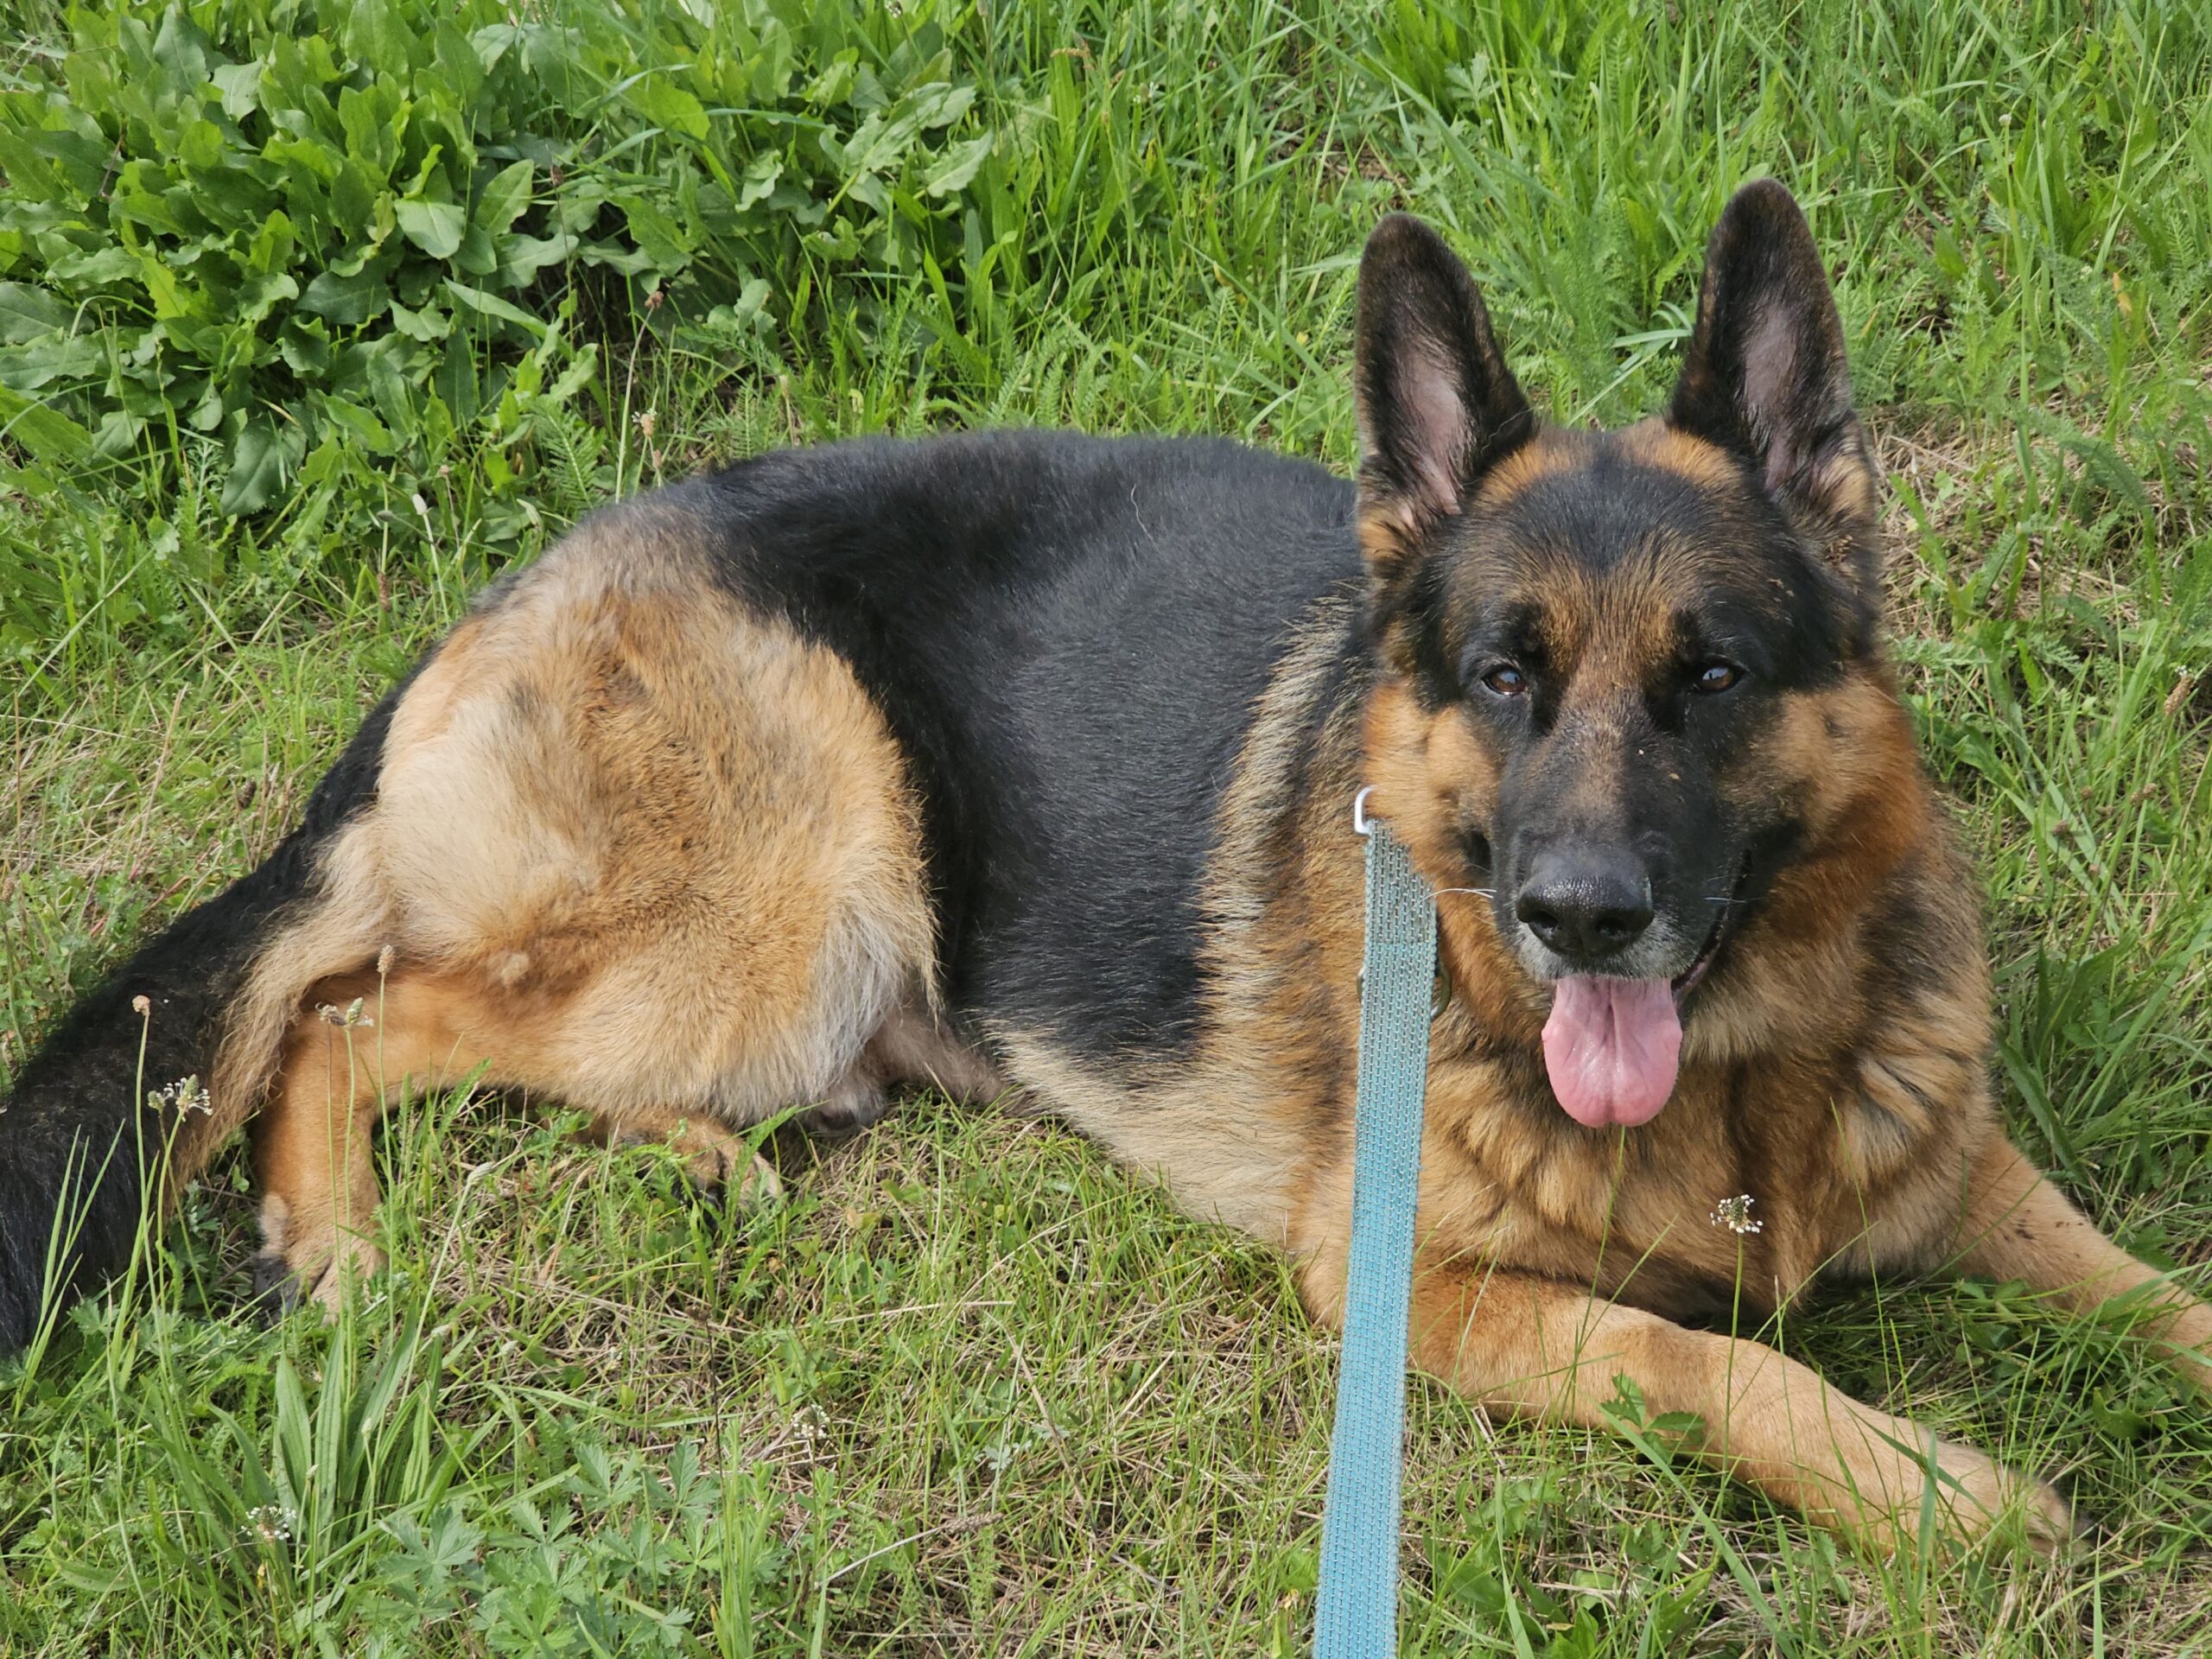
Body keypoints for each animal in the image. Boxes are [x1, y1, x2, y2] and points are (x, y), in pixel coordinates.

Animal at [4, 184, 2212, 1557]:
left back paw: (694, 1164)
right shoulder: (1410, 1288)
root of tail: (504, 599)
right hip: (792, 903)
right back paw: (343, 1248)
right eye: (1500, 676)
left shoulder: (1967, 1175)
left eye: (1714, 676)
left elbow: (2153, 1291)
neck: (1741, 1093)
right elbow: (1698, 1360)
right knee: (352, 1013)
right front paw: (1939, 1492)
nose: (1576, 913)